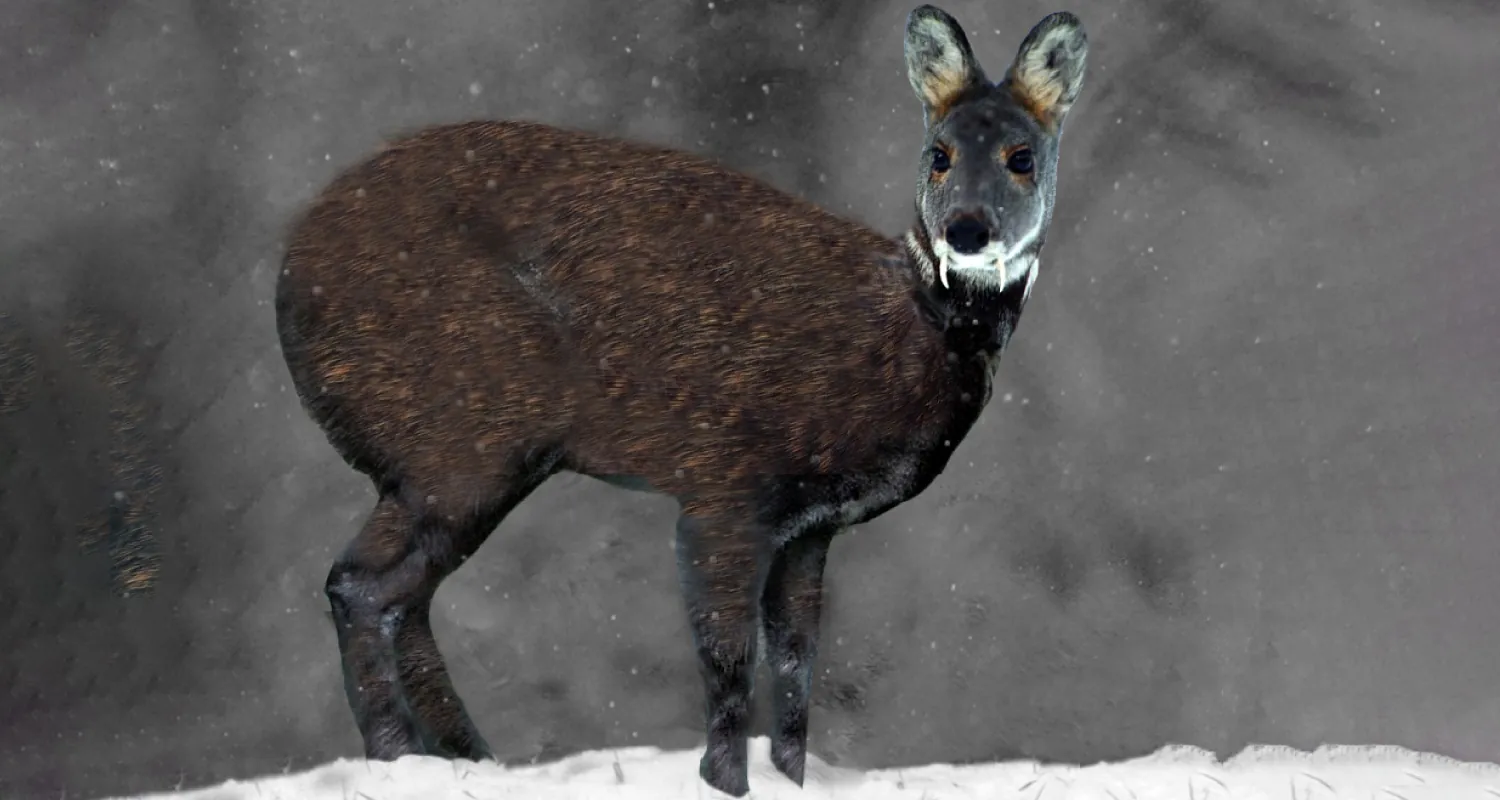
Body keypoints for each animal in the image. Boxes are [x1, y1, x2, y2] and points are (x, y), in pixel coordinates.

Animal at [274, 5, 1088, 796]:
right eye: (938, 153)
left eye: (1022, 156)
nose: (966, 230)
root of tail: (287, 274)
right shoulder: (725, 481)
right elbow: (728, 668)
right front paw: (724, 784)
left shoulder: (811, 526)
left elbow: (796, 672)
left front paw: (790, 781)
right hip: (462, 432)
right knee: (358, 585)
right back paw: (400, 761)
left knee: (402, 598)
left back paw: (466, 760)